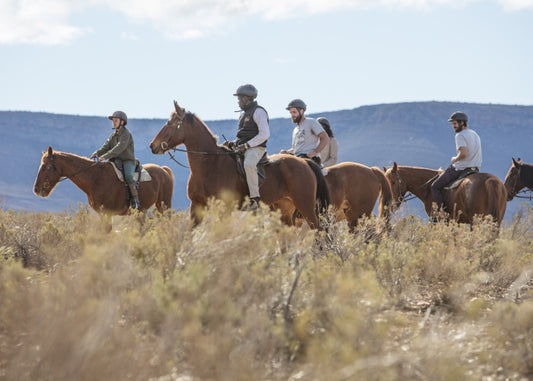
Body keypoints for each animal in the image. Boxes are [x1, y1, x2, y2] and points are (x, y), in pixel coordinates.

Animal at [33, 146, 175, 214]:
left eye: (47, 167)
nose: (37, 189)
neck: (95, 178)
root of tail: (164, 170)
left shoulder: (107, 213)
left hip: (164, 206)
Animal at [149, 99, 328, 229]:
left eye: (170, 123)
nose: (153, 145)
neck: (210, 165)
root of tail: (303, 161)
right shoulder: (196, 206)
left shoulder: (224, 210)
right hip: (284, 208)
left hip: (306, 205)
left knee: (318, 231)